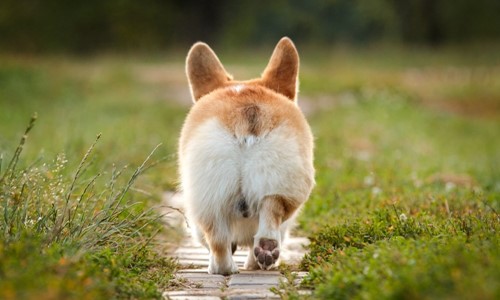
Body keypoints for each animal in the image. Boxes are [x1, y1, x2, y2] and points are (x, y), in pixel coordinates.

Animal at [178, 37, 314, 274]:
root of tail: (246, 112)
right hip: (277, 180)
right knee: (270, 212)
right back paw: (265, 251)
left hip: (208, 199)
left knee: (219, 243)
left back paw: (225, 269)